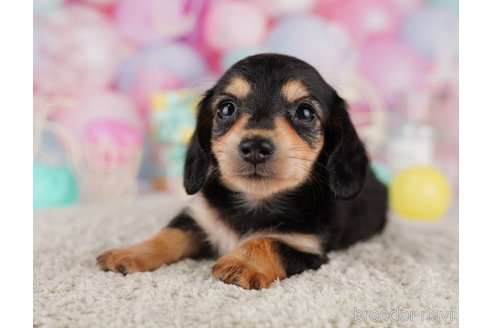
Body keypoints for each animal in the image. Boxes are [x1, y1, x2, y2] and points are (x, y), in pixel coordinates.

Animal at [97, 53, 388, 290]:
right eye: (226, 108)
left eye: (305, 112)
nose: (255, 147)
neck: (255, 202)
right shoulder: (199, 219)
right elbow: (169, 234)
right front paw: (132, 252)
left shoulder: (307, 247)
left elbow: (267, 241)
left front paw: (242, 263)